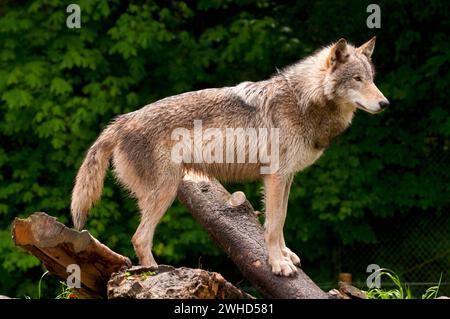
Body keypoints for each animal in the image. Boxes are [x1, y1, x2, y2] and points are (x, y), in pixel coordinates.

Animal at [72, 37, 388, 278]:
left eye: (371, 79)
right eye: (357, 79)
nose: (385, 103)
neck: (303, 101)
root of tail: (121, 121)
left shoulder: (286, 178)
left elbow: (281, 220)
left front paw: (285, 255)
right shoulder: (275, 176)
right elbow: (273, 225)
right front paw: (279, 265)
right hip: (166, 192)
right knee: (139, 238)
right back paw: (156, 273)